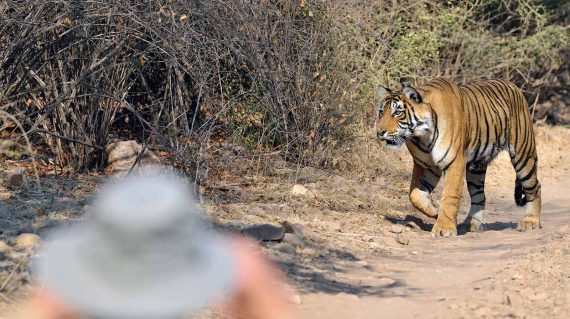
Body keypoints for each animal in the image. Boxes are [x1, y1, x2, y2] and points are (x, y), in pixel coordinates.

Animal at [374, 77, 540, 238]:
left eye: (397, 112)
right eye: (381, 111)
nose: (380, 132)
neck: (421, 137)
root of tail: (513, 85)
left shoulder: (454, 162)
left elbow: (450, 196)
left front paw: (444, 228)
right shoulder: (425, 165)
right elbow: (414, 195)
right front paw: (435, 211)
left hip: (523, 155)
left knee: (534, 187)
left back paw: (530, 222)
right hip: (476, 169)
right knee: (479, 196)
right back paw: (470, 224)